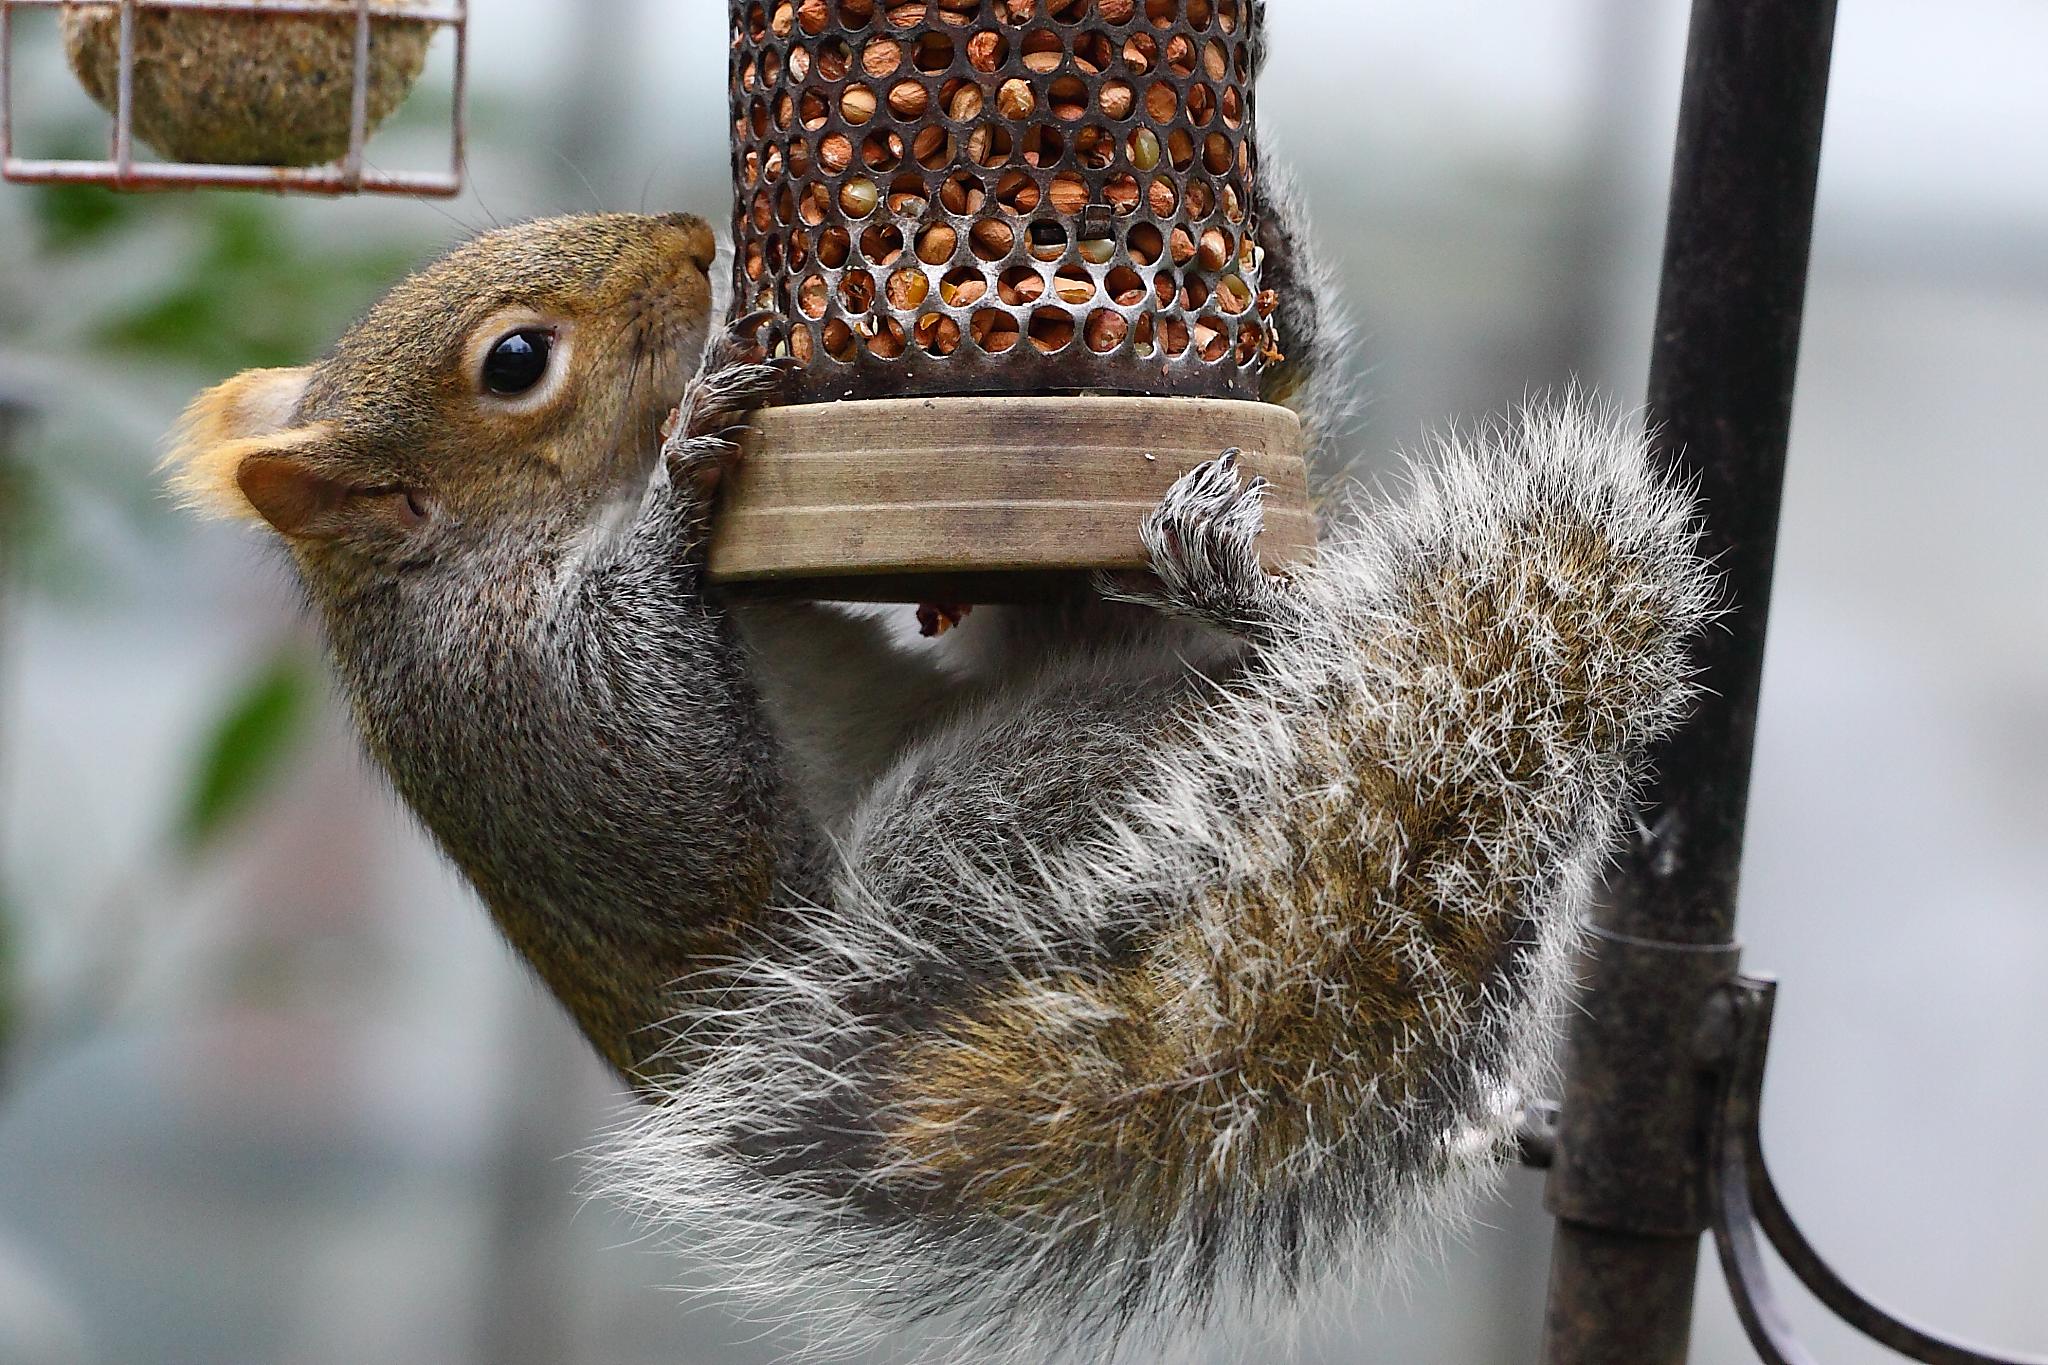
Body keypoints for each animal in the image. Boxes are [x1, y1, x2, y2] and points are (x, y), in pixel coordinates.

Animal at [167, 184, 1720, 1365]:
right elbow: (688, 778)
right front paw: (682, 471)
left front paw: (1262, 271)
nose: (689, 238)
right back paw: (1255, 626)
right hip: (993, 824)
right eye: (514, 365)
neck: (480, 558)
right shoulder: (535, 712)